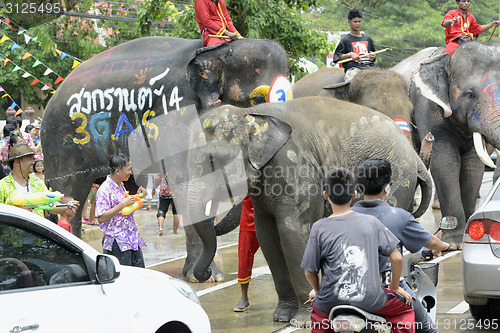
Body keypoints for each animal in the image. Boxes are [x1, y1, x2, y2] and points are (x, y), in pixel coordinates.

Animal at [41, 36, 292, 278]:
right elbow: (184, 181)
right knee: (69, 196)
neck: (218, 50)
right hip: (61, 144)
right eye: (257, 100)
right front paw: (205, 277)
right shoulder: (176, 114)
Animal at [169, 95, 434, 322]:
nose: (204, 276)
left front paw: (302, 320)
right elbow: (268, 238)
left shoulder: (294, 166)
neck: (251, 113)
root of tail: (413, 153)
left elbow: (292, 233)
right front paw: (282, 316)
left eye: (215, 160)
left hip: (397, 178)